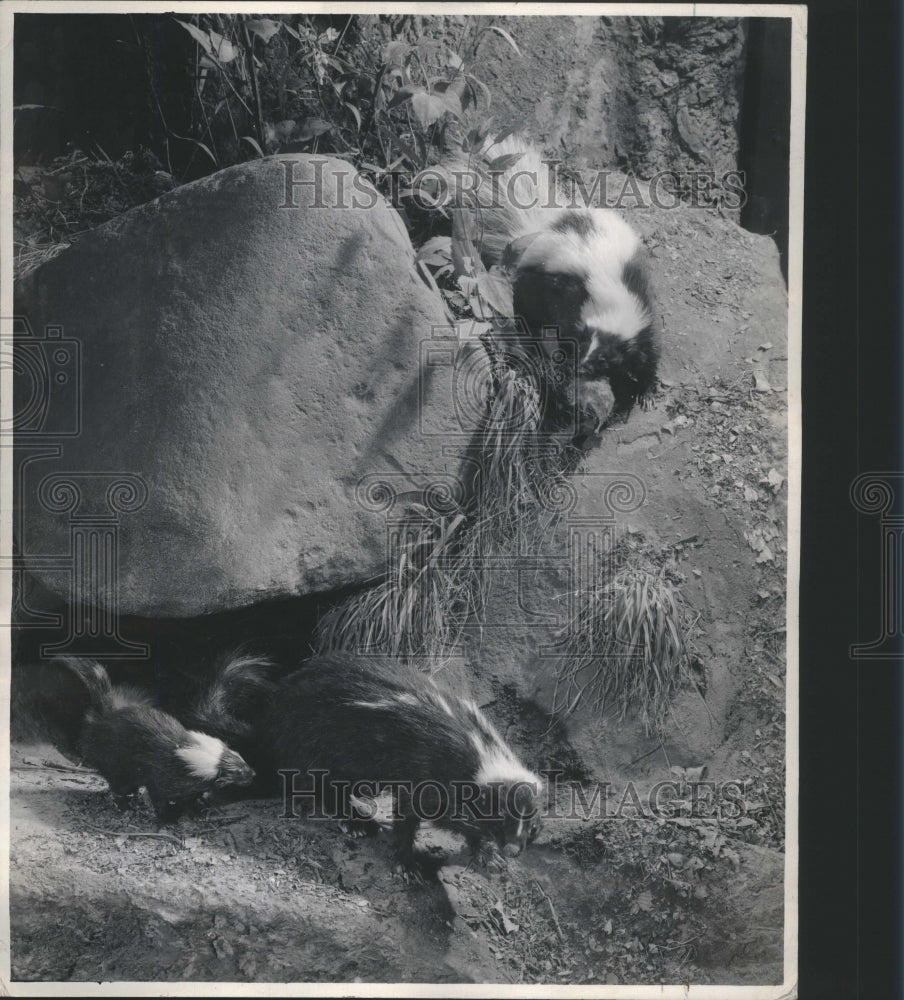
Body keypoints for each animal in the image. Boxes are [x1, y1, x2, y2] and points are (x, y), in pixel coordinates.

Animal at [54, 656, 256, 820]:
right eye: (238, 772)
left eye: (242, 758)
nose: (254, 773)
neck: (183, 749)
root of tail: (105, 714)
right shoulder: (161, 773)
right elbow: (159, 795)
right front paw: (168, 817)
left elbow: (191, 796)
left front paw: (198, 809)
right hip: (113, 758)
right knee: (119, 784)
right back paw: (124, 805)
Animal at [262, 648, 544, 876]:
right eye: (499, 818)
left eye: (531, 824)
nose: (512, 849)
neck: (480, 748)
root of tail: (289, 685)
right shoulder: (426, 767)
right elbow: (413, 814)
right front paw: (405, 864)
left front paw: (486, 852)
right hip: (319, 733)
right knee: (324, 781)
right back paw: (355, 822)